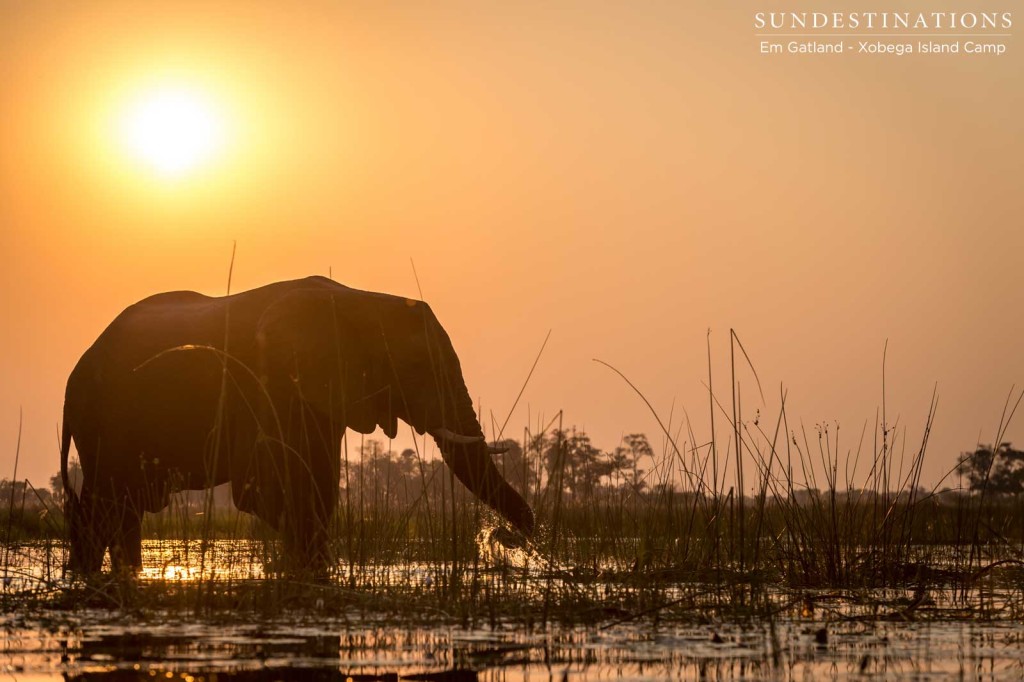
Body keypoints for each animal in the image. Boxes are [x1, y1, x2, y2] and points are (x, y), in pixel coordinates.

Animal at [60, 274, 536, 569]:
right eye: (418, 366)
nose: (503, 537)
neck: (361, 299)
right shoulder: (265, 385)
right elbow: (263, 492)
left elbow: (319, 487)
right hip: (103, 421)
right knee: (109, 504)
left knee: (117, 508)